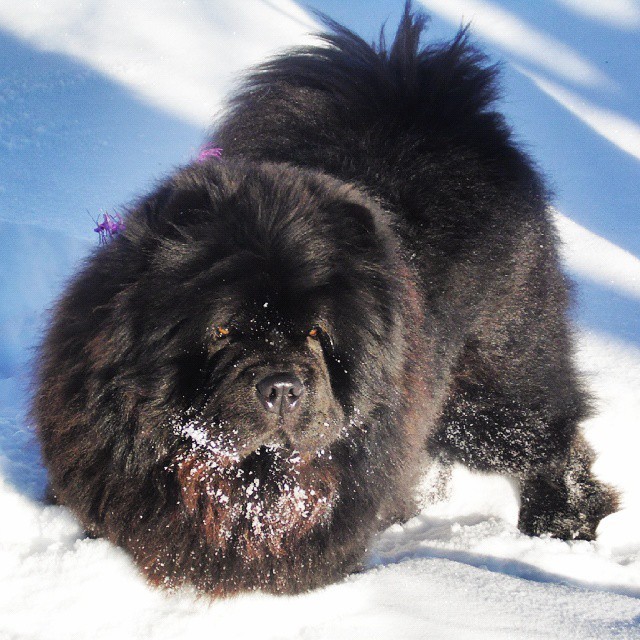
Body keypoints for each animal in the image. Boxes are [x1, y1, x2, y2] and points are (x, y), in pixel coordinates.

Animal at [33, 3, 616, 596]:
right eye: (224, 330)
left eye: (316, 332)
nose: (282, 387)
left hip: (492, 387)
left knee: (549, 437)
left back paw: (562, 523)